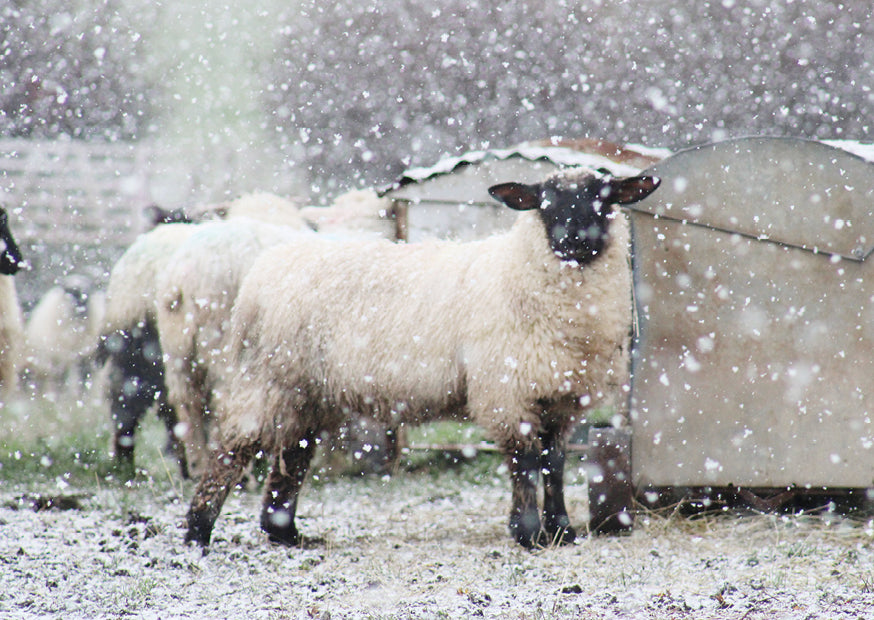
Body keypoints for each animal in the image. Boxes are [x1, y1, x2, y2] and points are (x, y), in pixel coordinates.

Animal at [184, 167, 660, 549]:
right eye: (544, 203)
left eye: (605, 199)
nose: (572, 239)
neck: (521, 271)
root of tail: (261, 272)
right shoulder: (506, 391)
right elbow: (524, 463)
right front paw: (528, 534)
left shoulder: (561, 398)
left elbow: (554, 464)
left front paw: (561, 530)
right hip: (266, 378)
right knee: (231, 449)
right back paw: (197, 533)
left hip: (305, 390)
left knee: (294, 454)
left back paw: (286, 535)